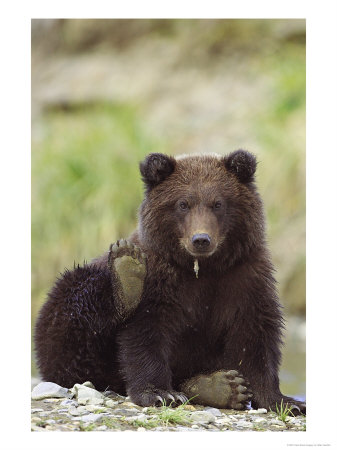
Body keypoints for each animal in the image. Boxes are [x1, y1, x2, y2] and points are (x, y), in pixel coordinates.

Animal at [34, 149, 304, 414]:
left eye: (218, 203)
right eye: (183, 204)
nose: (201, 239)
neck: (203, 268)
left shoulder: (244, 277)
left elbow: (255, 336)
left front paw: (285, 401)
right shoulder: (160, 280)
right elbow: (147, 331)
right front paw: (160, 393)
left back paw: (221, 387)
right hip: (63, 326)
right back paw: (126, 276)